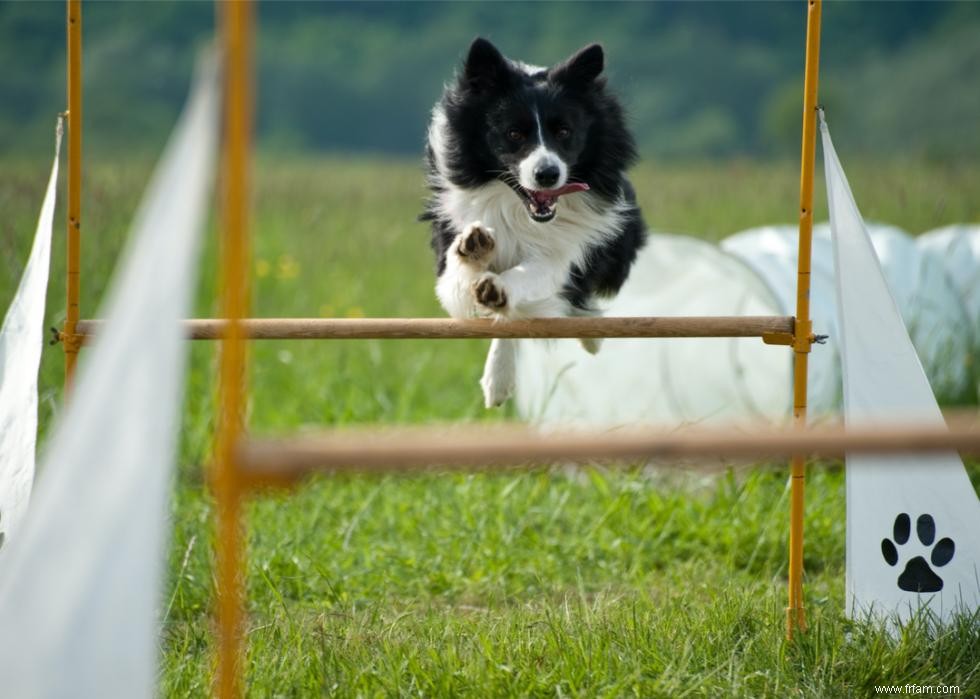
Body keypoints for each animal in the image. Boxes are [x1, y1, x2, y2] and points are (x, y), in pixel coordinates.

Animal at [424, 38, 648, 408]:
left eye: (564, 131)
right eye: (514, 133)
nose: (547, 174)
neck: (519, 211)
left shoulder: (564, 252)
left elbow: (533, 276)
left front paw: (498, 287)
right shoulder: (451, 245)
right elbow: (457, 284)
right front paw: (474, 251)